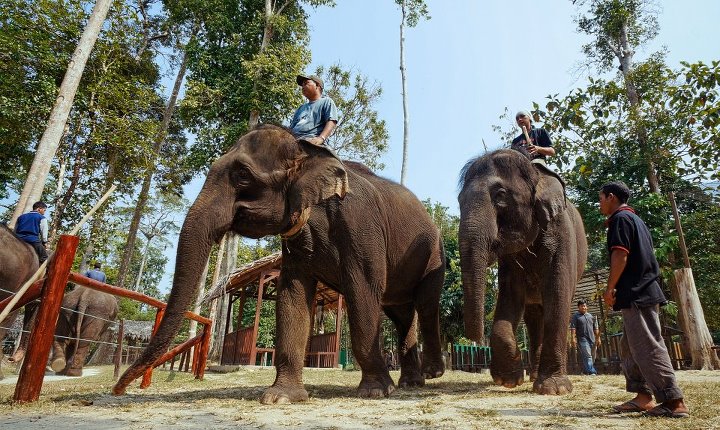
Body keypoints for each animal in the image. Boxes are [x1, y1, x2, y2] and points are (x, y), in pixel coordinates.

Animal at [113, 124, 446, 404]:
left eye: (243, 175)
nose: (118, 389)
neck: (308, 153)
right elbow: (292, 296)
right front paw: (281, 397)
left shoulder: (360, 225)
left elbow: (362, 290)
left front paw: (376, 391)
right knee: (402, 315)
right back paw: (411, 383)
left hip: (434, 253)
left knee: (425, 304)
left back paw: (428, 375)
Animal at [458, 149, 587, 395]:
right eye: (459, 201)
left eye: (500, 196)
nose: (473, 339)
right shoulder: (509, 260)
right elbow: (510, 295)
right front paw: (508, 380)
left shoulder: (561, 230)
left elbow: (558, 293)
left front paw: (554, 389)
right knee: (534, 316)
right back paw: (533, 374)